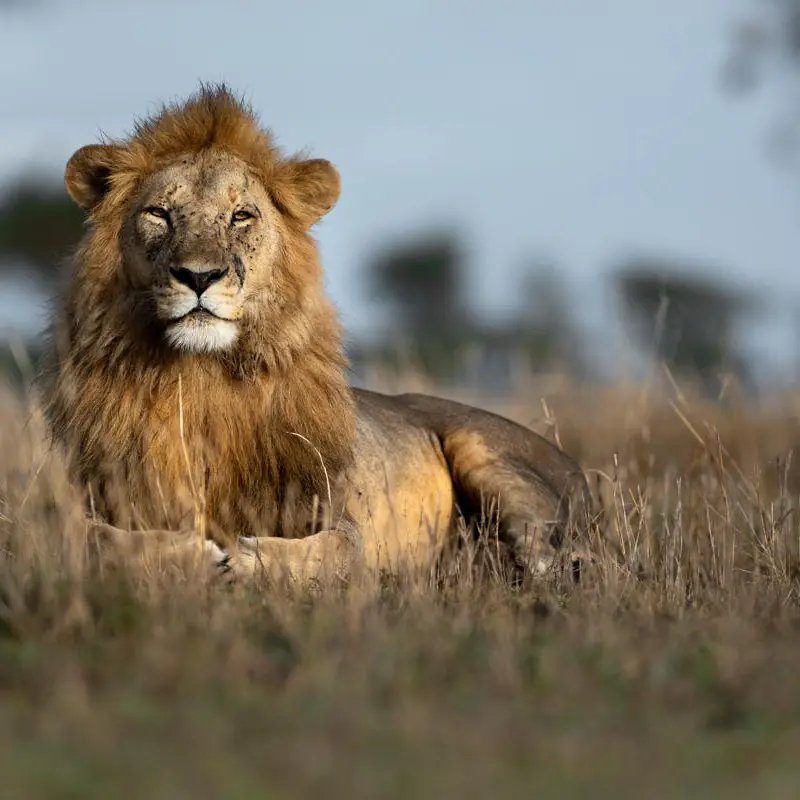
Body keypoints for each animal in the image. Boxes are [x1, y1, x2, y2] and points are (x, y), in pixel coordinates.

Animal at [40, 85, 591, 584]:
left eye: (241, 215)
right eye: (158, 213)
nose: (199, 276)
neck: (202, 383)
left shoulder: (332, 512)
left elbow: (338, 549)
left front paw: (248, 559)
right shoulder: (96, 502)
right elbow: (93, 540)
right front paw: (194, 554)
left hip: (483, 450)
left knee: (549, 557)